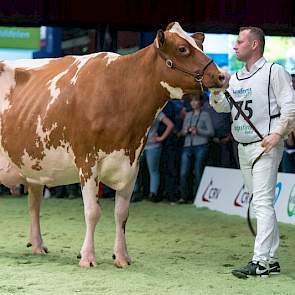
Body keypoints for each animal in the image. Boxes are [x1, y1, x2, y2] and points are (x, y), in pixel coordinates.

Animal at [0, 22, 227, 268]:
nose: (222, 76)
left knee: (34, 204)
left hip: (33, 167)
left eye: (200, 45)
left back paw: (38, 245)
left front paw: (121, 257)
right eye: (182, 49)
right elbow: (92, 212)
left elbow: (121, 213)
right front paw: (87, 257)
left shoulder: (132, 162)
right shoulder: (87, 162)